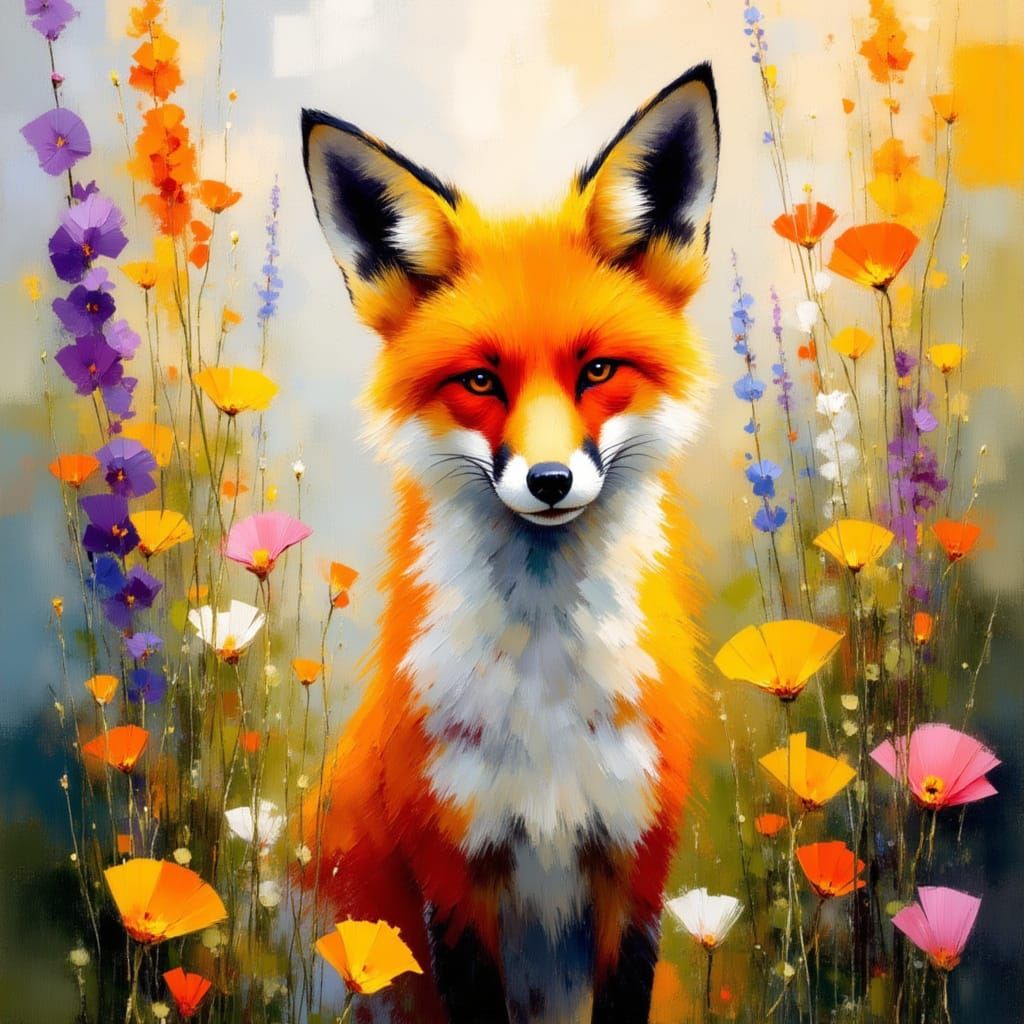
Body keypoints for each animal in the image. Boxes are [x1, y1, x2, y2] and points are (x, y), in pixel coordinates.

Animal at [299, 62, 720, 1024]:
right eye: (482, 381)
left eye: (597, 370)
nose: (551, 481)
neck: (548, 701)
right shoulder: (455, 882)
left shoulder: (635, 874)